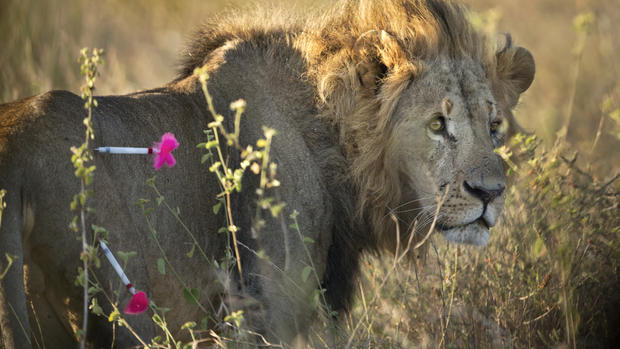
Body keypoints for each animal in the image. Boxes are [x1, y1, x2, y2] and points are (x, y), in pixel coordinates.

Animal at [0, 0, 532, 346]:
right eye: (438, 124)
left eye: (494, 126)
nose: (490, 193)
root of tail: (14, 160)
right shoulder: (269, 310)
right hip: (125, 305)